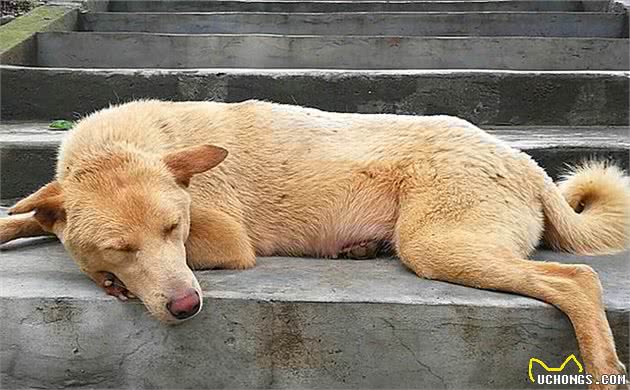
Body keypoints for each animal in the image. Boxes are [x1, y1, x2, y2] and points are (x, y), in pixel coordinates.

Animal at [1, 100, 630, 386]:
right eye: (121, 246)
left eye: (172, 230)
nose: (187, 306)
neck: (134, 140)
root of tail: (523, 161)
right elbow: (29, 215)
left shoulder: (226, 239)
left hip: (438, 244)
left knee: (578, 279)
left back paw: (602, 365)